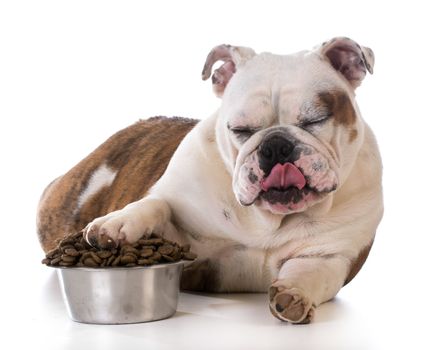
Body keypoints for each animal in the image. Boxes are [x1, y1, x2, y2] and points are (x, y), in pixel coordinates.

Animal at [37, 37, 382, 324]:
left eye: (315, 120)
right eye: (240, 129)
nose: (275, 145)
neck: (267, 221)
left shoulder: (330, 256)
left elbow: (310, 274)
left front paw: (294, 295)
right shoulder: (181, 240)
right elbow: (155, 206)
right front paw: (116, 224)